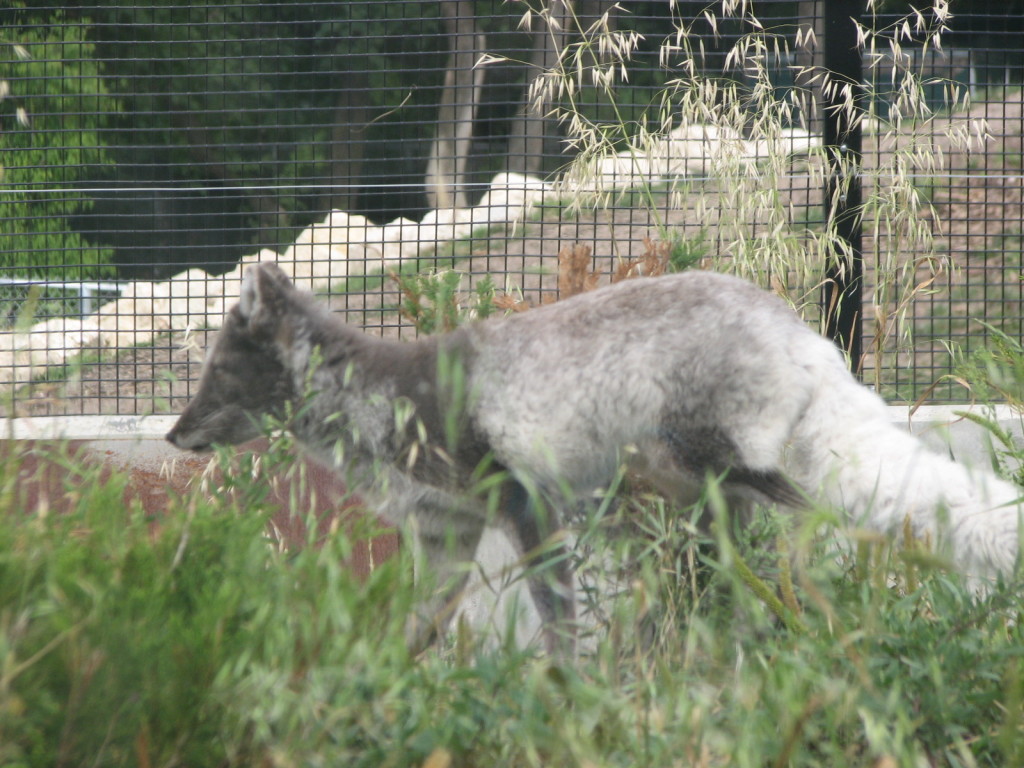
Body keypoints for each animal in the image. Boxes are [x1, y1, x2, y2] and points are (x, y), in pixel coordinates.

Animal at [165, 262, 1015, 651]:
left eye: (217, 373)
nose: (174, 435)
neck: (383, 400)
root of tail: (804, 334)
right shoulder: (447, 539)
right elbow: (418, 631)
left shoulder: (523, 503)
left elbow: (557, 619)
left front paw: (565, 691)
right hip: (711, 500)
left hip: (743, 477)